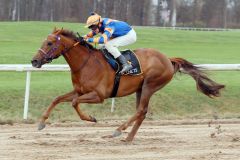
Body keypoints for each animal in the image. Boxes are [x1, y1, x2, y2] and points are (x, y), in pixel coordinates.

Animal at [31, 28, 224, 142]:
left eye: (49, 43)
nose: (34, 61)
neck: (86, 63)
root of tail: (168, 59)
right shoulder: (79, 91)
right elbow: (58, 99)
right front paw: (41, 123)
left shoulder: (99, 96)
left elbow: (73, 103)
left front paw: (91, 118)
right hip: (140, 88)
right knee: (142, 112)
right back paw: (128, 137)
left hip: (150, 85)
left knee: (140, 111)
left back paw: (118, 130)